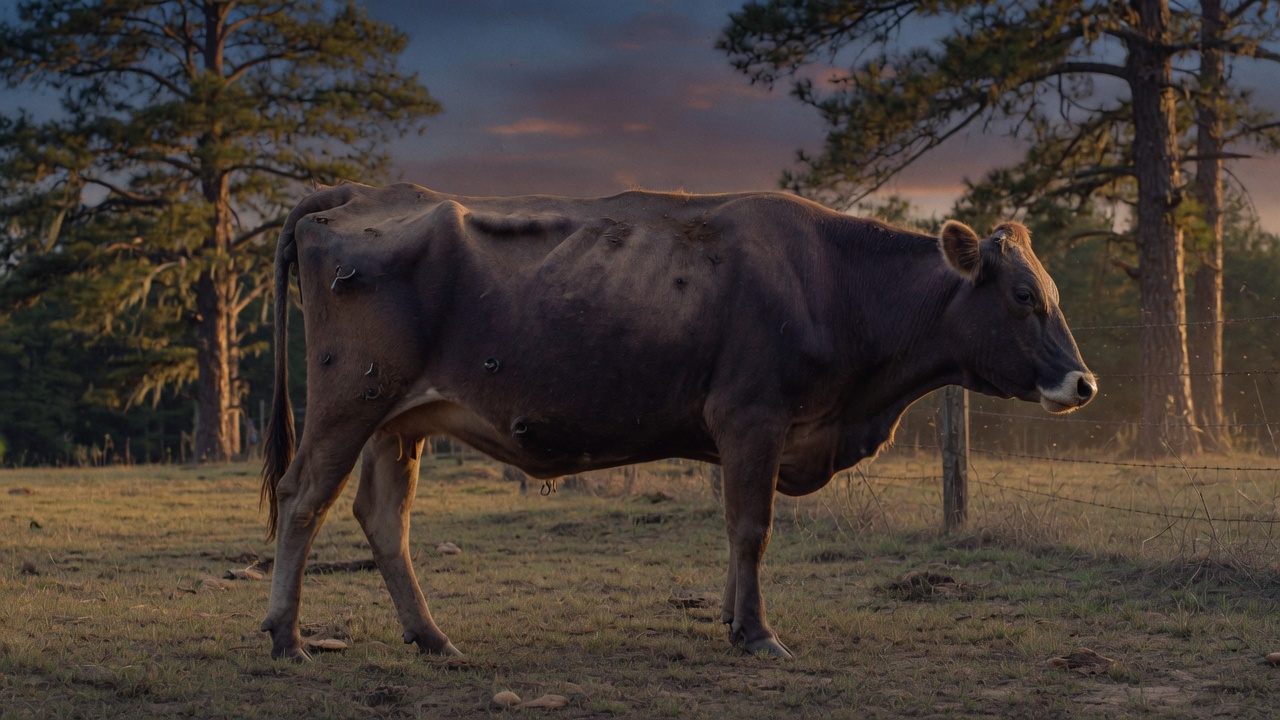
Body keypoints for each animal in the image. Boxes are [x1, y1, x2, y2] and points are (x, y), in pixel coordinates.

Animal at [258, 182, 1095, 661]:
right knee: (302, 501)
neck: (835, 280)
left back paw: (432, 638)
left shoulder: (748, 435)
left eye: (1053, 293)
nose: (1084, 383)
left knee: (382, 518)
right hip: (351, 400)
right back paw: (287, 637)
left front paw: (729, 617)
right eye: (1024, 296)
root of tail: (355, 194)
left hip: (401, 422)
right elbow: (751, 528)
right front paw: (756, 633)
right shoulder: (752, 417)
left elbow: (736, 531)